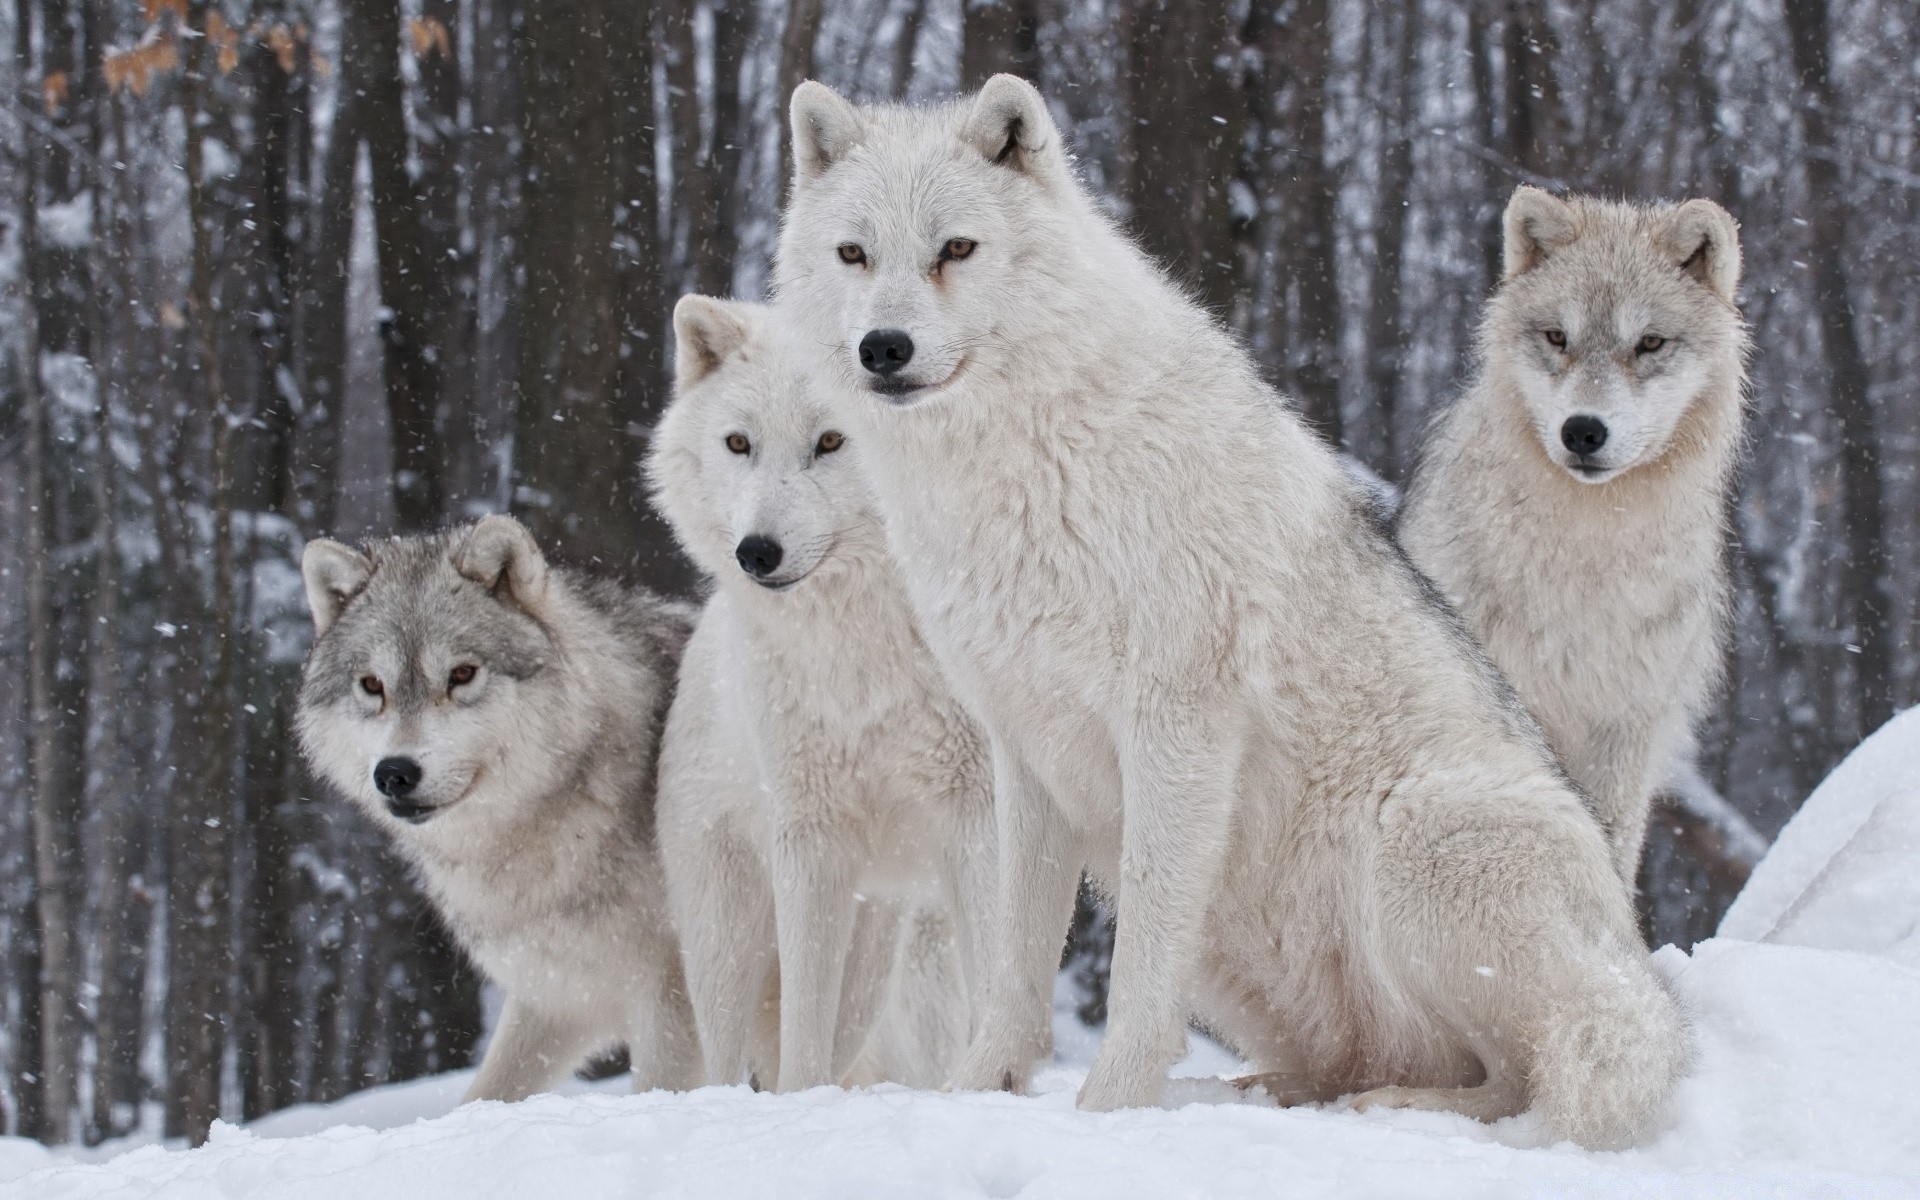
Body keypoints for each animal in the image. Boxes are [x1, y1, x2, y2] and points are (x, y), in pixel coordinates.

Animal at [303, 510, 710, 1098]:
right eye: (373, 686)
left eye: (462, 674)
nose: (395, 774)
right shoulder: (557, 997)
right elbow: (484, 1095)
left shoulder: (675, 996)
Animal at [648, 295, 998, 1090]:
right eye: (738, 443)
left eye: (833, 440)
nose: (756, 553)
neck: (865, 649)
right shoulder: (809, 838)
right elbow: (803, 1030)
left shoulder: (979, 817)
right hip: (730, 939)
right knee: (727, 1060)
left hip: (879, 952)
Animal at [771, 77, 1689, 1152]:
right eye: (854, 254)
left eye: (955, 249)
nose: (884, 348)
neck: (1024, 465)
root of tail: (1640, 974)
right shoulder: (1025, 749)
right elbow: (1014, 961)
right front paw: (978, 1093)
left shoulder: (1177, 727)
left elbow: (1139, 964)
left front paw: (1110, 1112)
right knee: (1360, 1063)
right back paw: (1261, 1095)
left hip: (1416, 837)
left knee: (1522, 1072)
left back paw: (1396, 1110)